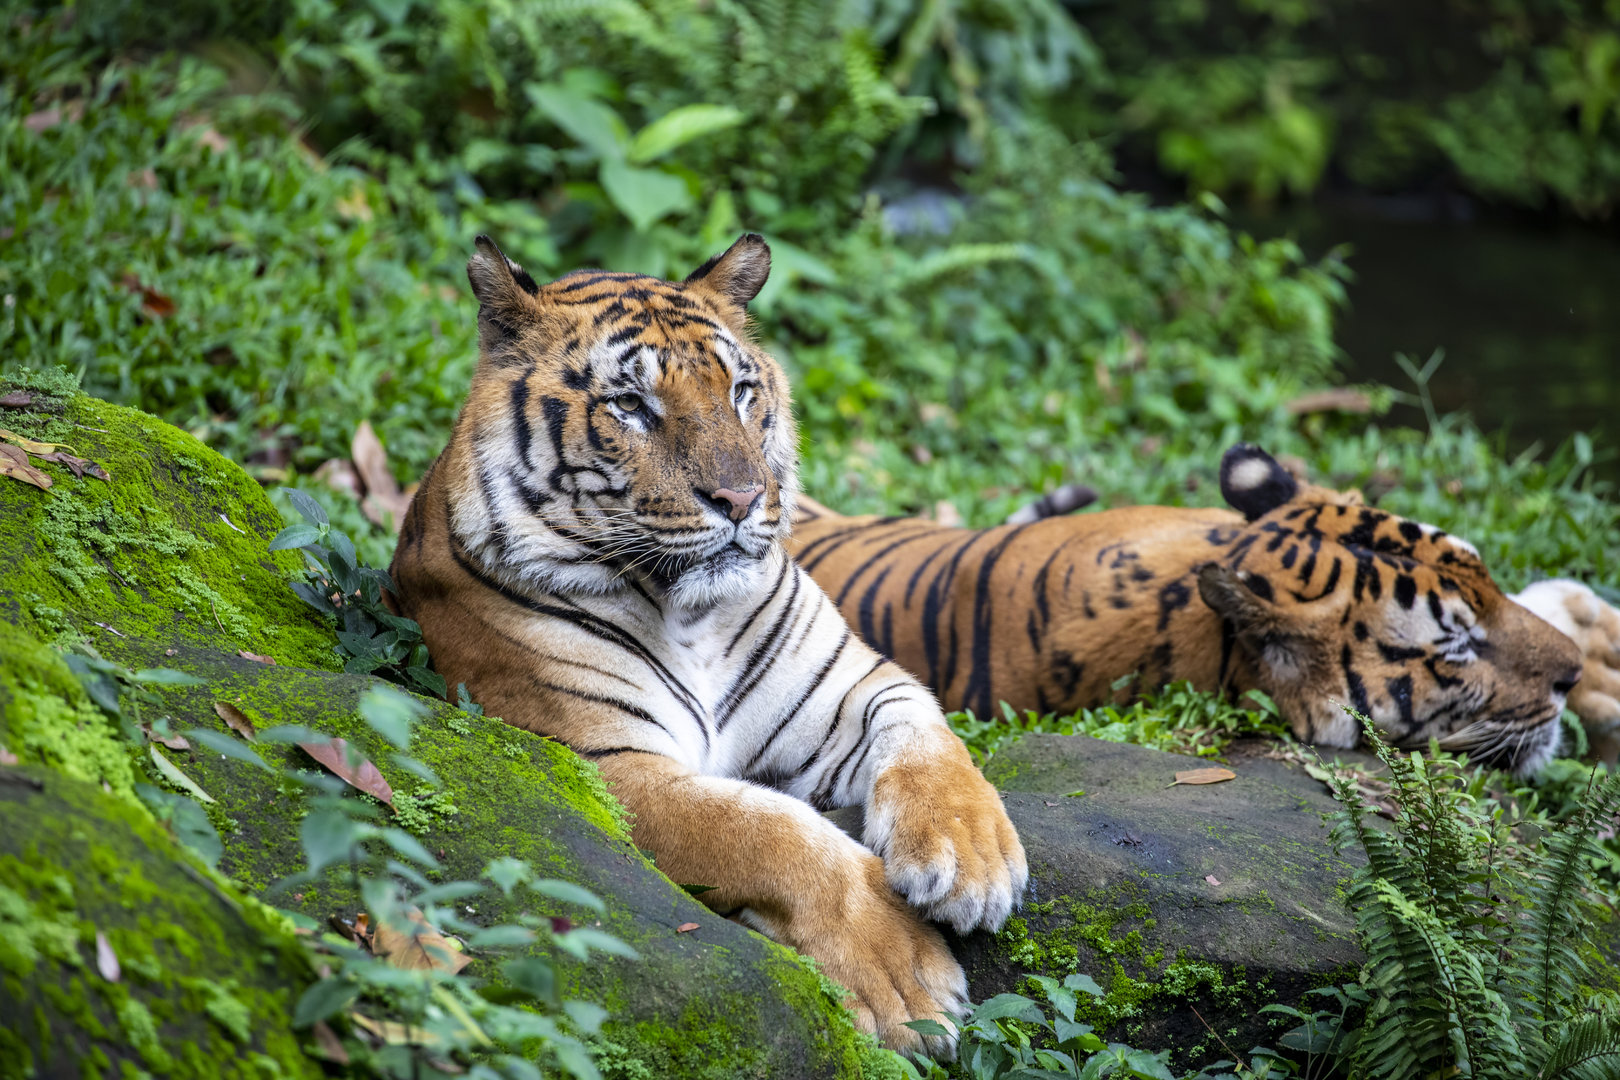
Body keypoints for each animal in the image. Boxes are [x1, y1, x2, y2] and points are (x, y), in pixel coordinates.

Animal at [389, 234, 1026, 1055]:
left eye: (741, 391)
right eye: (631, 405)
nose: (743, 499)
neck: (693, 615)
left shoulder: (851, 685)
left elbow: (927, 733)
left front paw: (969, 860)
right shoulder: (610, 766)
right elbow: (770, 831)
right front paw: (906, 977)